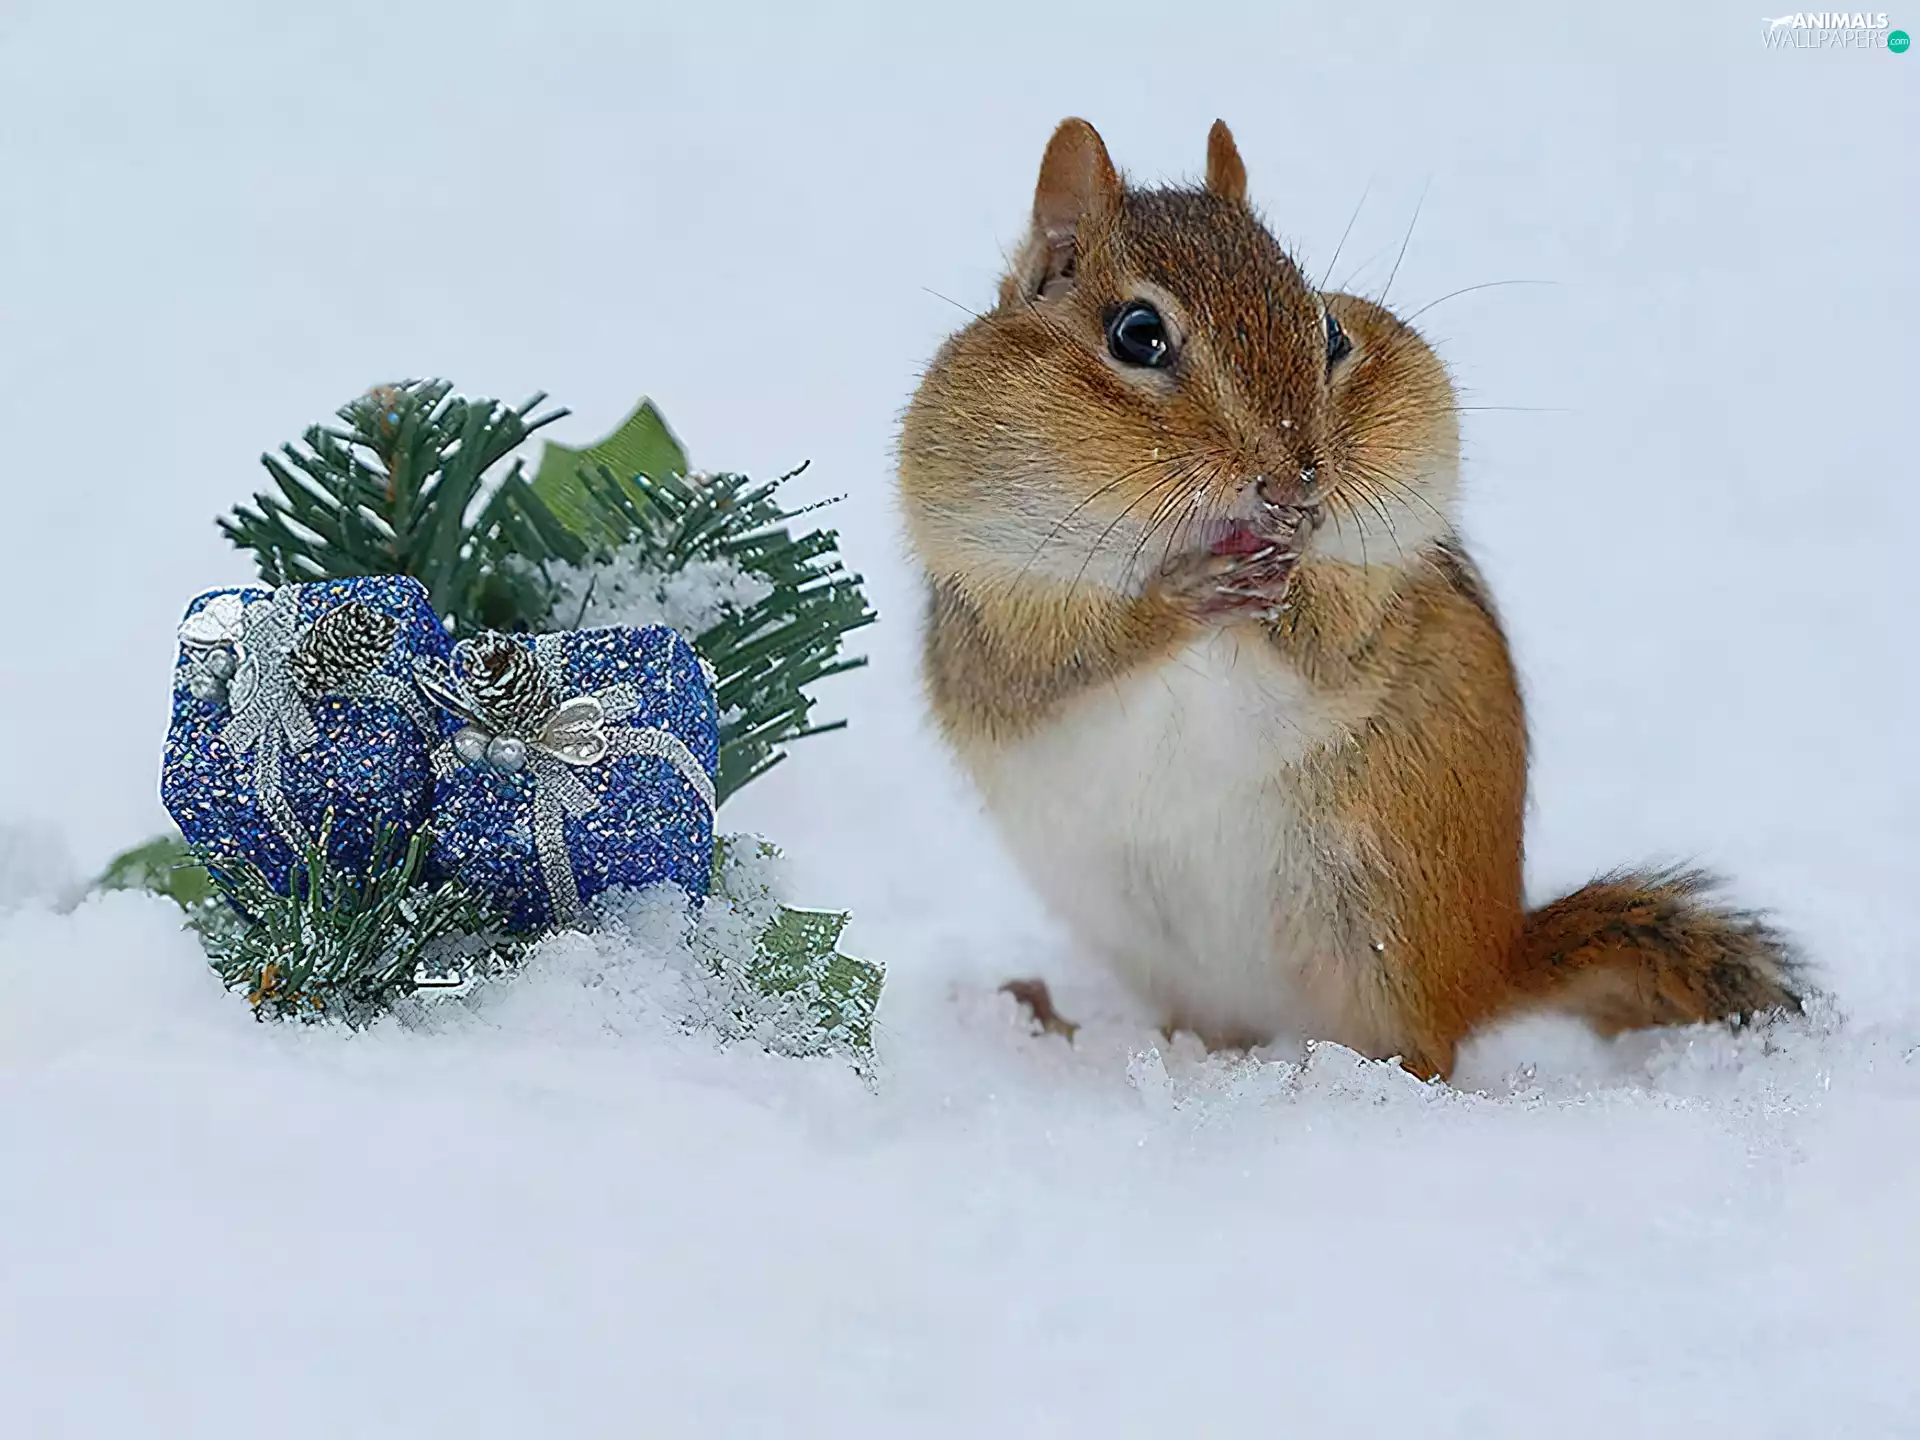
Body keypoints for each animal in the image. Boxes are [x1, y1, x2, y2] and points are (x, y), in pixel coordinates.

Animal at [896, 118, 1805, 1079]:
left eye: (1330, 330)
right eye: (1137, 335)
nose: (1295, 483)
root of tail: (1493, 967)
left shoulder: (1382, 581)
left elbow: (1337, 636)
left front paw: (1290, 579)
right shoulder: (997, 597)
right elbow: (1059, 657)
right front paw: (1180, 595)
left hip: (1387, 924)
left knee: (1426, 1048)